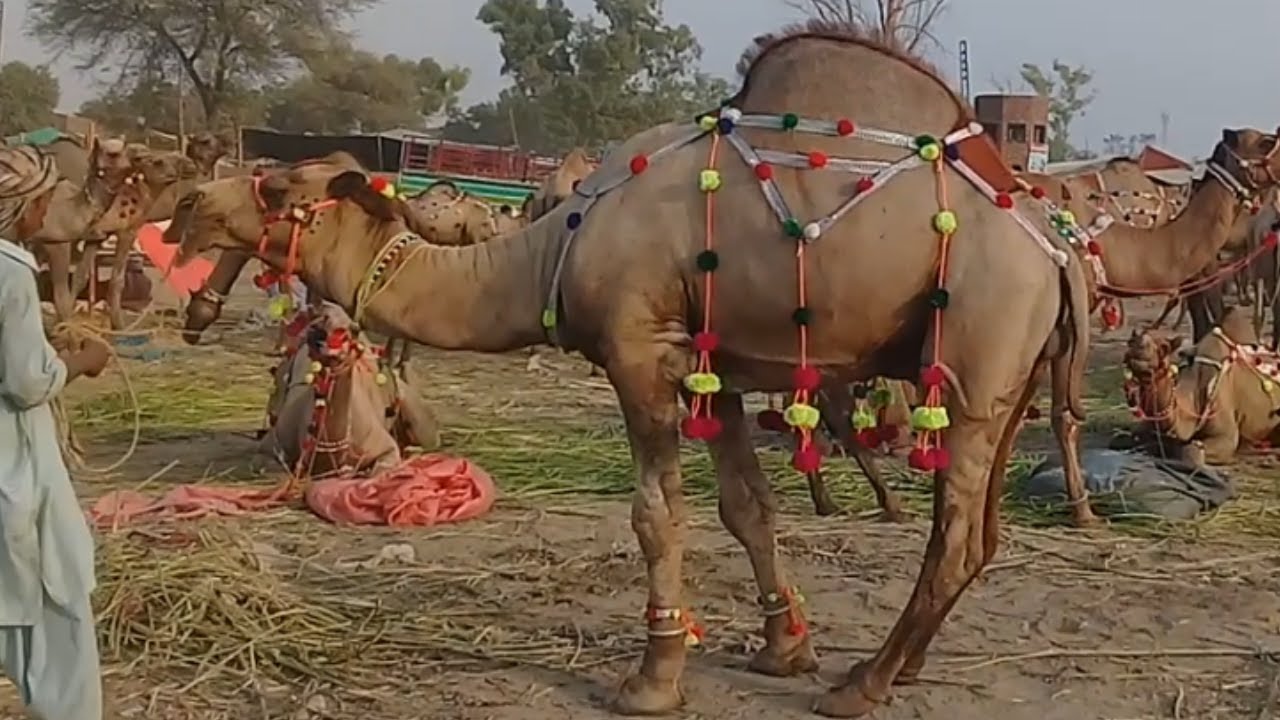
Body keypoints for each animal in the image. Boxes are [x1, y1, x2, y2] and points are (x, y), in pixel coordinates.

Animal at [260, 301, 441, 476]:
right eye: (315, 327)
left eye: (353, 330)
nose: (330, 346)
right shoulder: (272, 444)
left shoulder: (386, 447)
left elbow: (379, 469)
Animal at [1122, 307, 1280, 462]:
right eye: (1130, 341)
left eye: (1164, 347)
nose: (1137, 343)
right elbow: (1128, 435)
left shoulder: (1225, 434)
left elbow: (1192, 451)